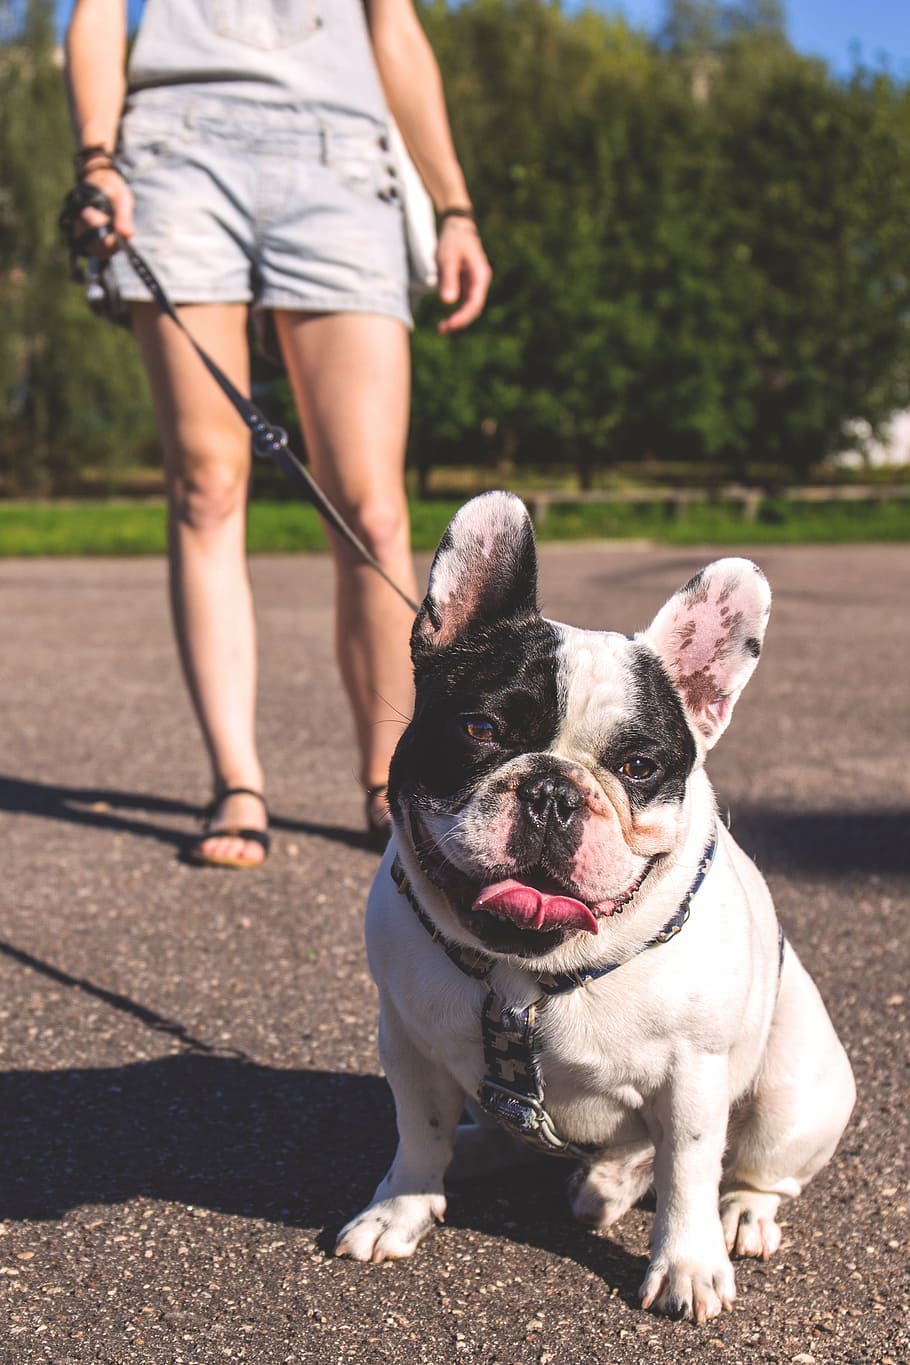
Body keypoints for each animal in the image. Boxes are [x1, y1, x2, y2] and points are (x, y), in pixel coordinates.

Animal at [336, 491, 856, 1321]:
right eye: (481, 729)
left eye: (638, 766)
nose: (553, 791)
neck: (524, 973)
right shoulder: (408, 1043)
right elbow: (417, 1131)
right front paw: (401, 1207)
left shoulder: (693, 1076)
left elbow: (687, 1172)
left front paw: (686, 1264)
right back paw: (490, 1150)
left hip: (792, 1095)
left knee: (750, 1169)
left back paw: (732, 1210)